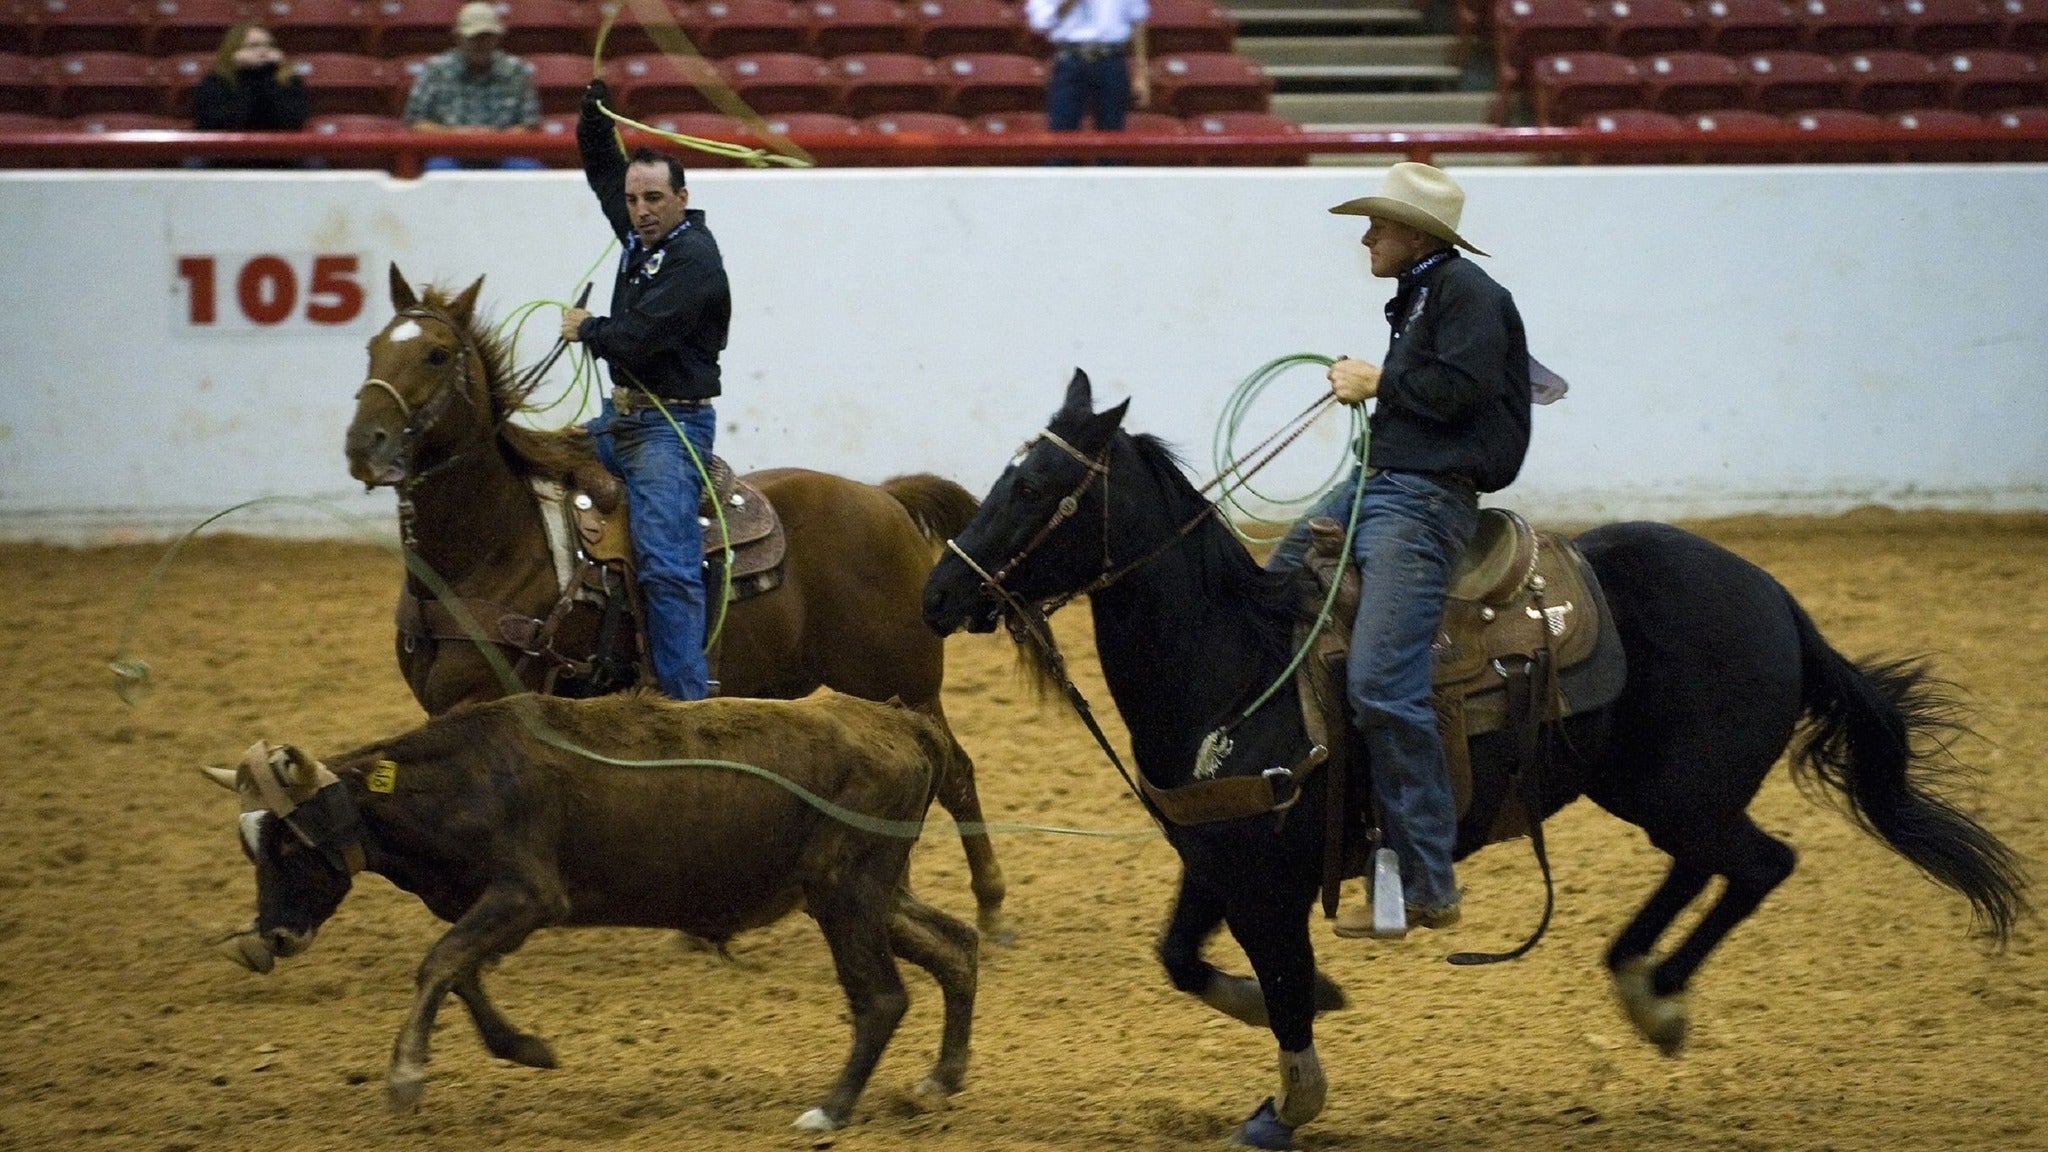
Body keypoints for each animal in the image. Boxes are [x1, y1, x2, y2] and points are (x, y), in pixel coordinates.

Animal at [348, 264, 1011, 938]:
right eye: (372, 348)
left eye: (436, 353)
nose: (363, 444)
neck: (496, 544)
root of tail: (885, 497)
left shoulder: (488, 699)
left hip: (904, 680)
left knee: (955, 772)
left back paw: (989, 902)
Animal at [929, 373, 2031, 1139]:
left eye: (1038, 485)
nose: (941, 592)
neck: (1237, 662)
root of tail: (1780, 602)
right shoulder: (1216, 858)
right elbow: (1184, 962)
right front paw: (1309, 1009)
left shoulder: (1269, 880)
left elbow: (1280, 985)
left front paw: (1291, 1100)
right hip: (1654, 791)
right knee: (1713, 866)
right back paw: (1640, 980)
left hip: (1679, 792)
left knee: (1760, 863)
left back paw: (1657, 996)